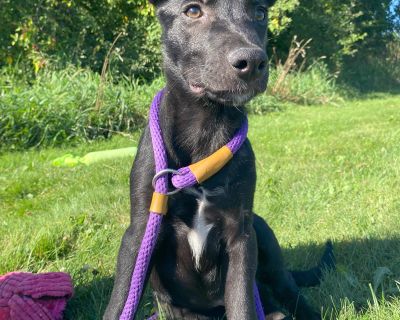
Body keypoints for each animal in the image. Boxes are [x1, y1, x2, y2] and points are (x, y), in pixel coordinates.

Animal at [104, 1, 334, 318]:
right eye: (192, 11)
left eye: (260, 13)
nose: (252, 62)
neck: (206, 131)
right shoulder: (139, 233)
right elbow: (120, 300)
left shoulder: (241, 234)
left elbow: (242, 303)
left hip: (262, 231)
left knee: (287, 288)